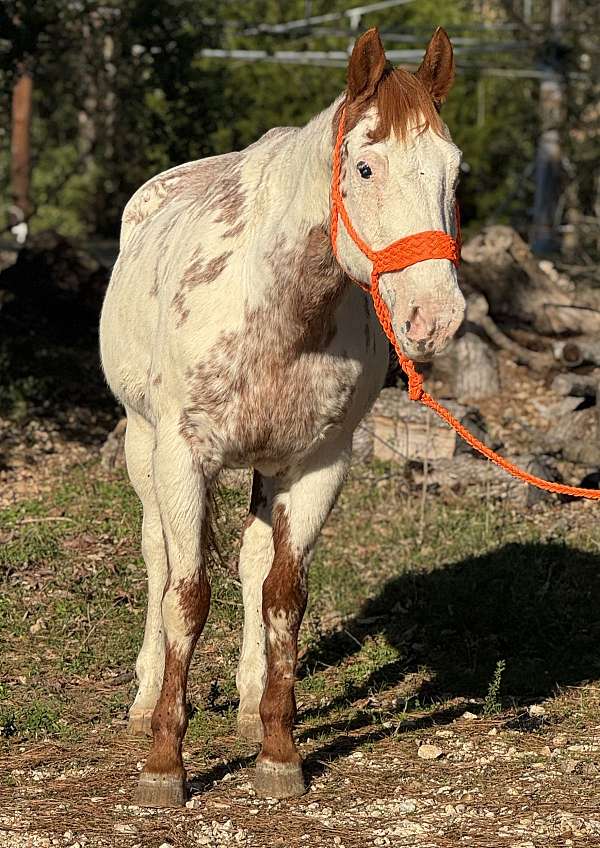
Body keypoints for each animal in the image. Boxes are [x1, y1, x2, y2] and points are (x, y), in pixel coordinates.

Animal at [99, 26, 465, 808]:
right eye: (364, 166)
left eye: (455, 172)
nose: (435, 315)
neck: (276, 306)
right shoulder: (182, 458)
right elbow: (186, 595)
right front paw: (164, 764)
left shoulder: (318, 463)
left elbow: (281, 593)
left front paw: (277, 751)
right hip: (143, 449)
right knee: (157, 558)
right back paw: (144, 701)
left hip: (266, 466)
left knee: (252, 561)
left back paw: (244, 702)